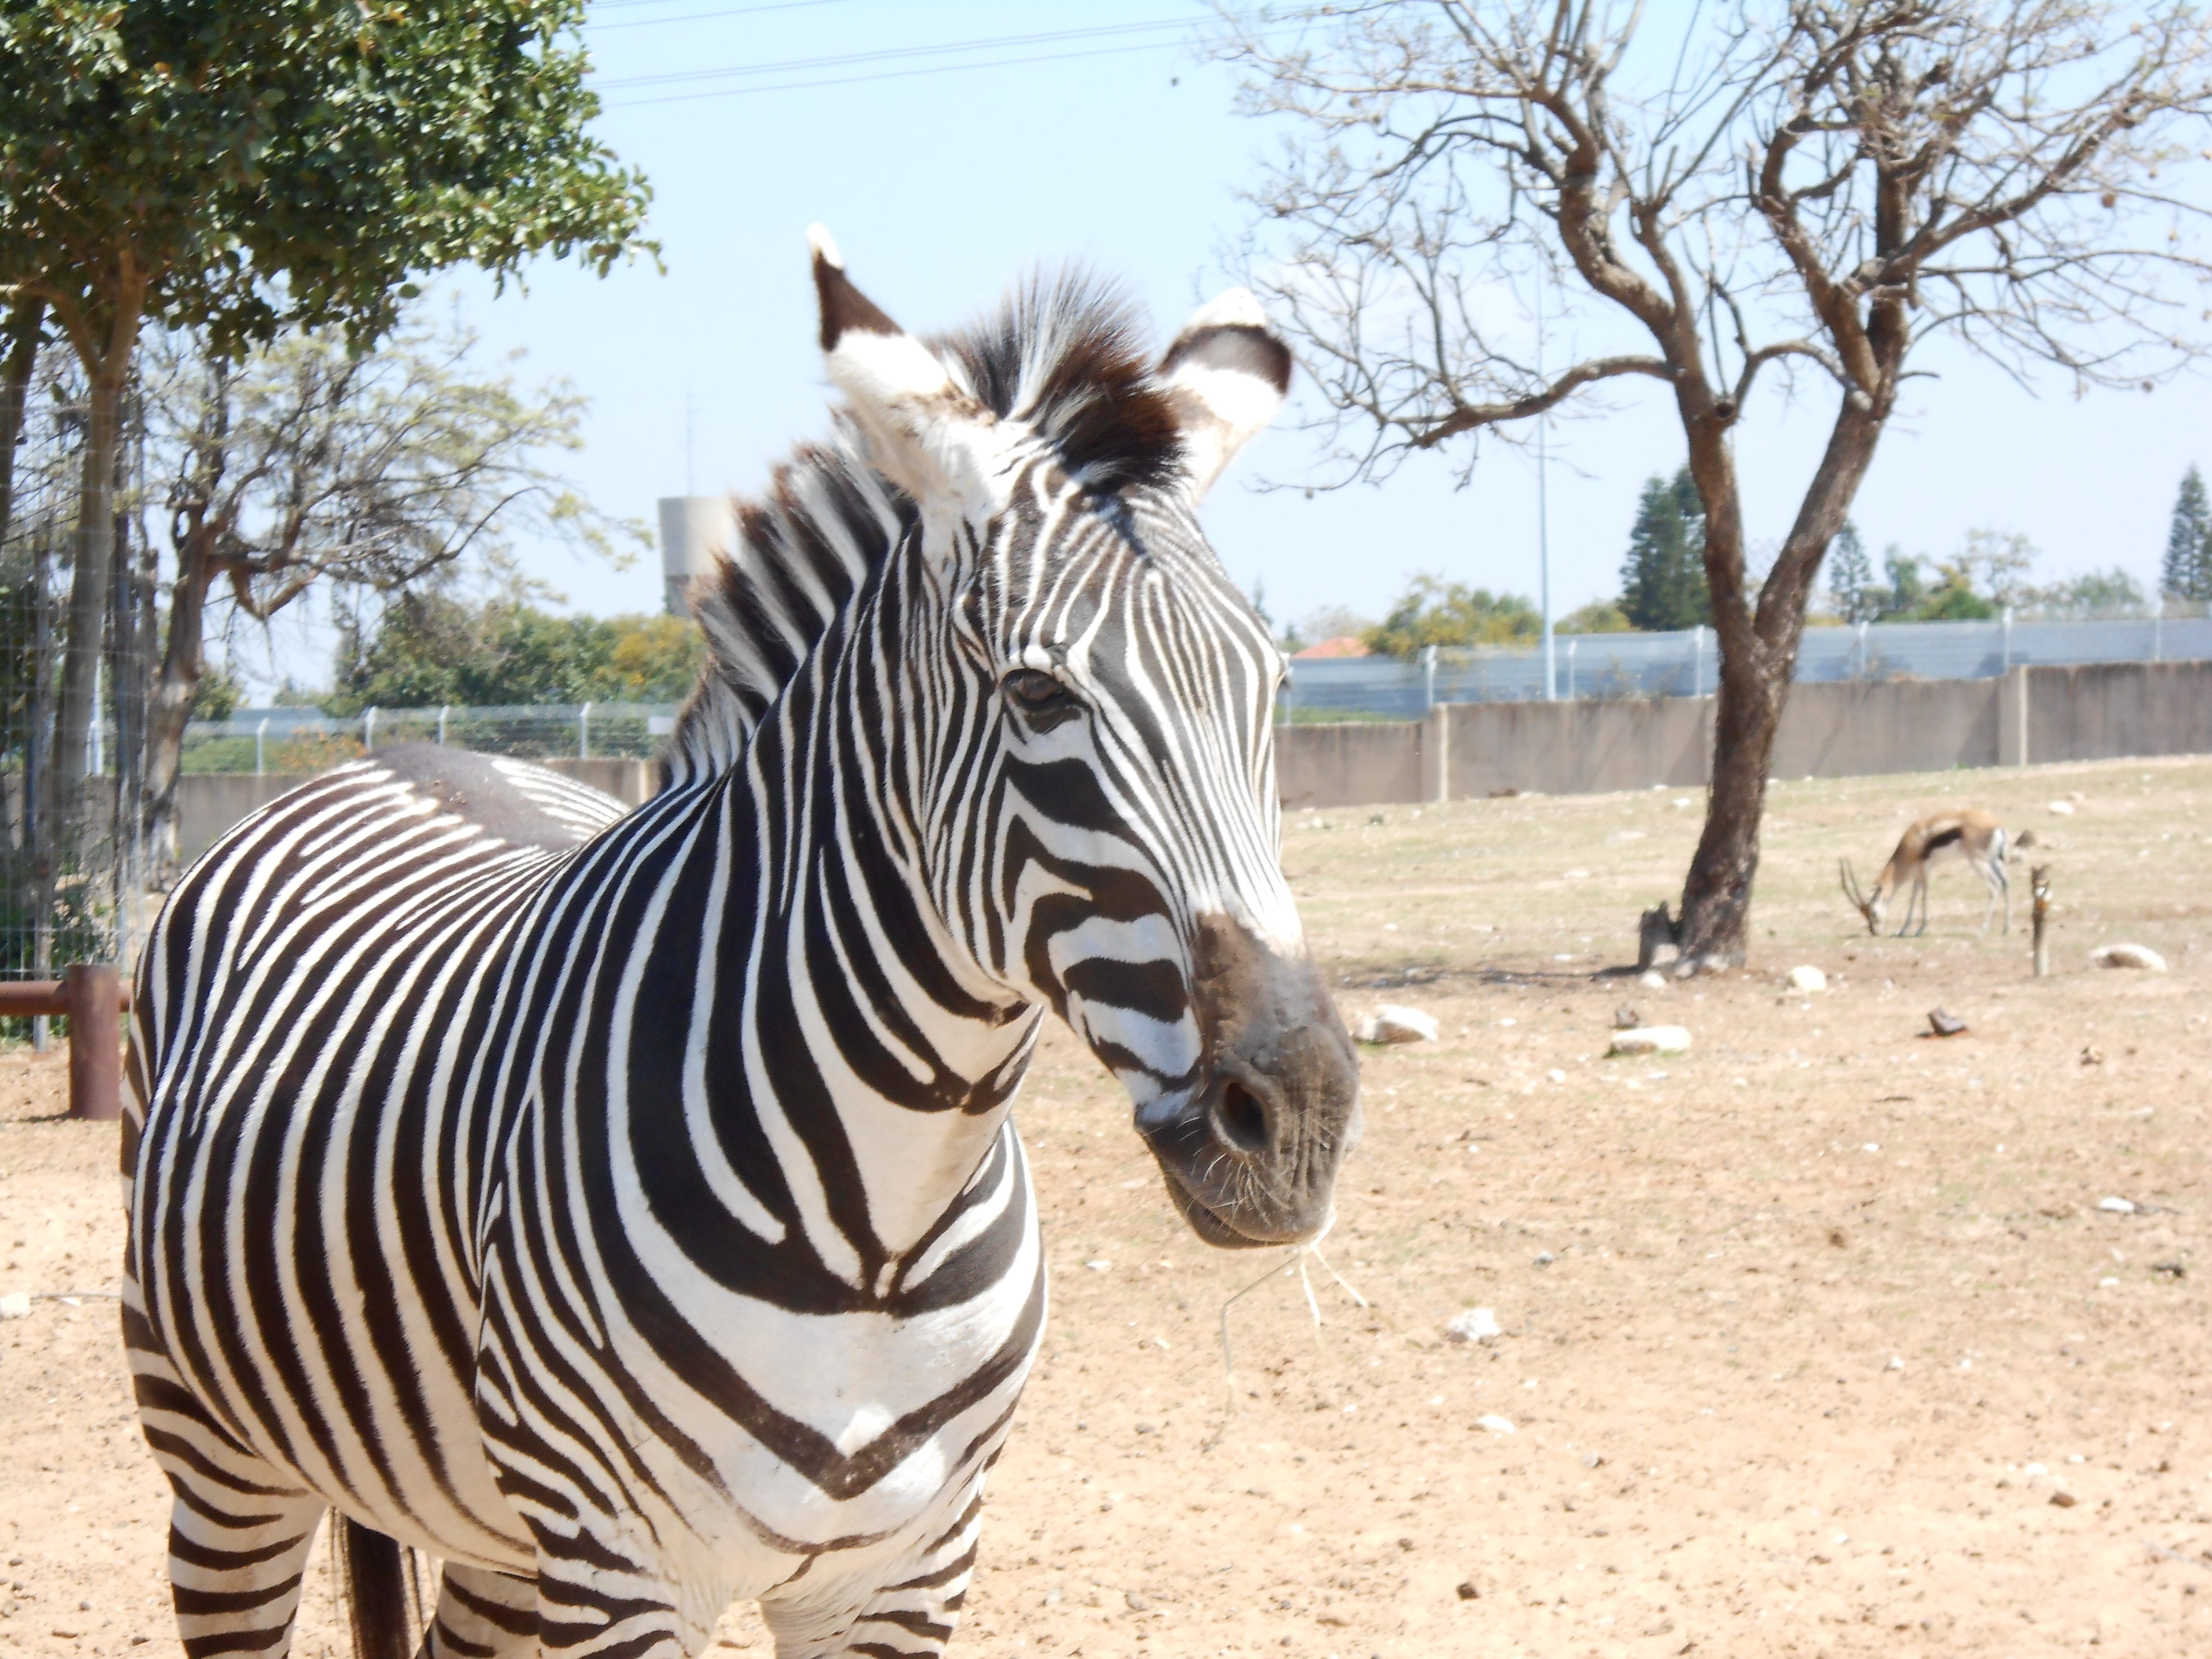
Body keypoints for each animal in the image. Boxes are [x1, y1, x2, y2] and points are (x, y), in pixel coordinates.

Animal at [125, 231, 1362, 1659]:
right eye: (1038, 693)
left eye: (1276, 688)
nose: (1299, 1116)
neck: (884, 1228)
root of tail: (385, 755)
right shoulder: (620, 1567)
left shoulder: (906, 1571)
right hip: (221, 1461)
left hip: (489, 1519)